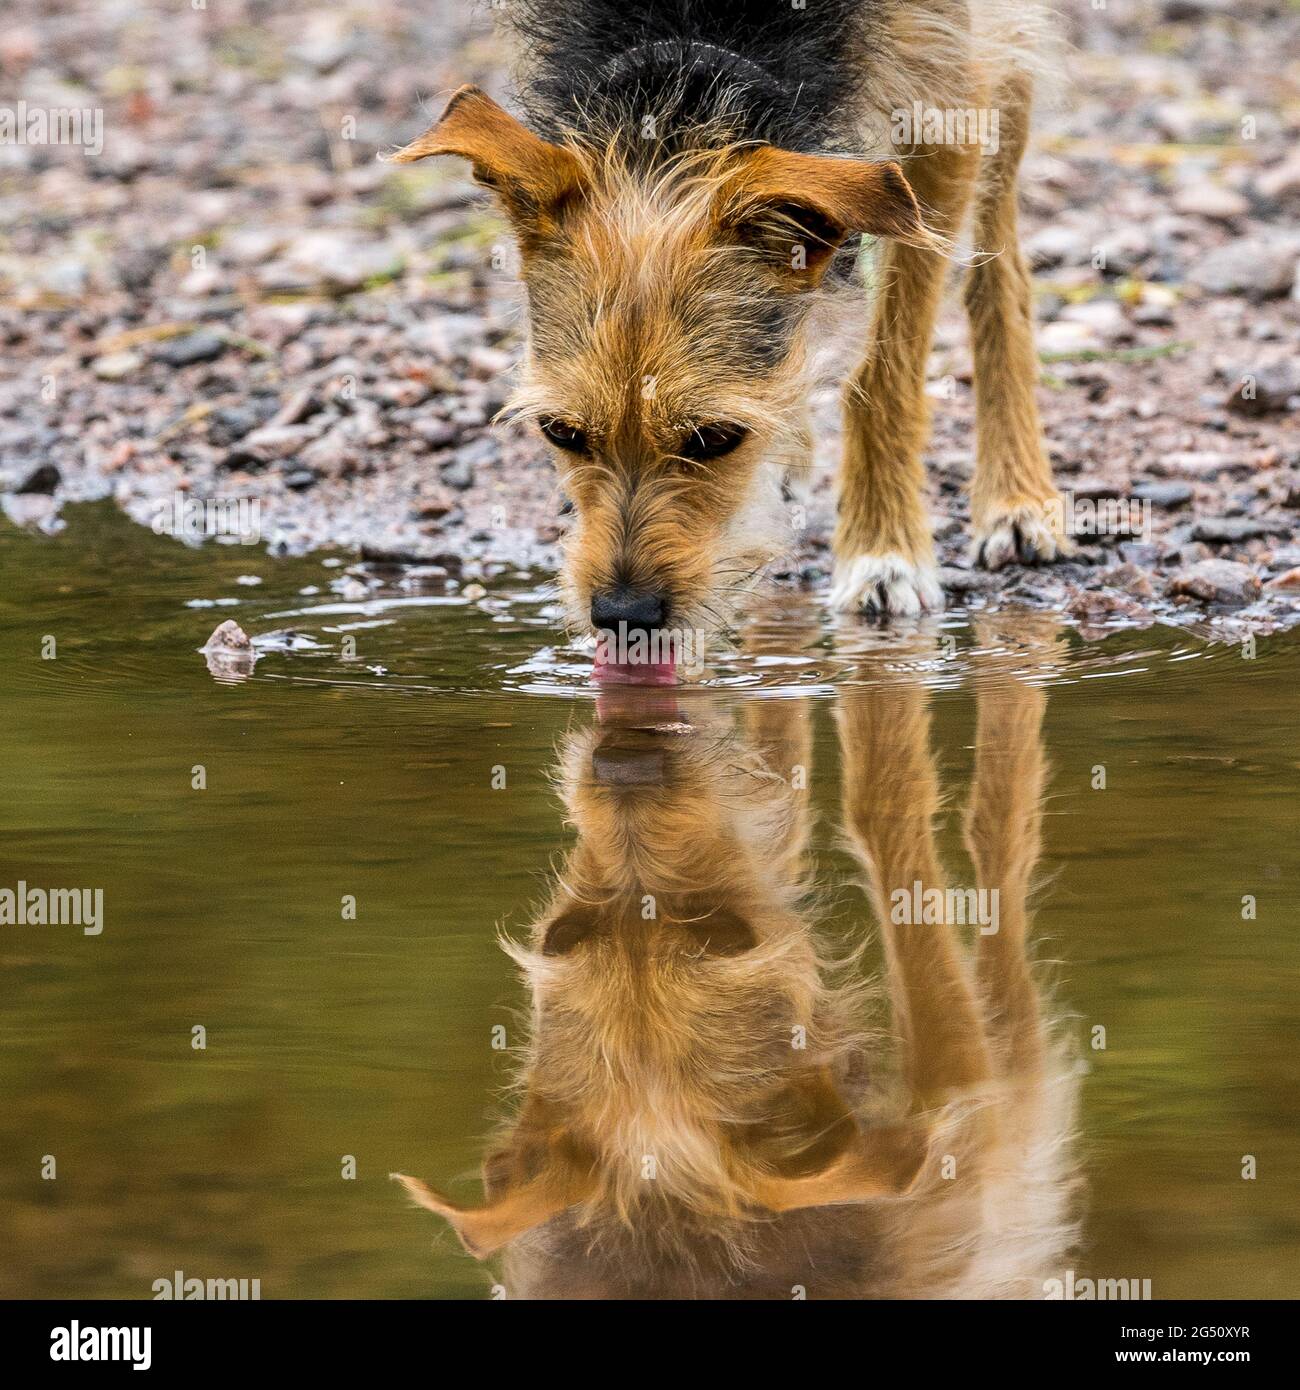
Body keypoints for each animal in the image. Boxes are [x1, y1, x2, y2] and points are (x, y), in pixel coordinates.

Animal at [386, 0, 1067, 661]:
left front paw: (884, 551)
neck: (690, 38)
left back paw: (1016, 497)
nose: (624, 617)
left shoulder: (942, 103)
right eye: (561, 432)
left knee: (1000, 258)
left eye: (715, 439)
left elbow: (887, 367)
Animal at [394, 614, 1078, 1295]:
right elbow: (885, 804)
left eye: (565, 934)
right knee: (1000, 893)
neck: (683, 1228)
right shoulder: (968, 1116)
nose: (624, 770)